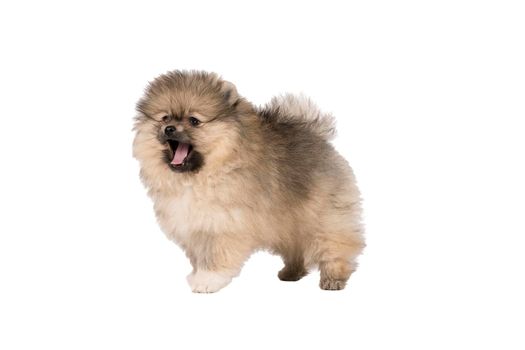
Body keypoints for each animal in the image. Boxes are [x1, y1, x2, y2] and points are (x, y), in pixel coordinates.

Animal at [133, 71, 362, 292]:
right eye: (165, 118)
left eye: (194, 121)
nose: (169, 129)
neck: (205, 174)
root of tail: (316, 136)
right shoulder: (196, 227)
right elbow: (201, 255)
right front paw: (199, 275)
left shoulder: (224, 223)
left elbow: (217, 256)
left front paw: (207, 280)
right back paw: (291, 272)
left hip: (324, 216)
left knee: (335, 244)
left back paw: (333, 278)